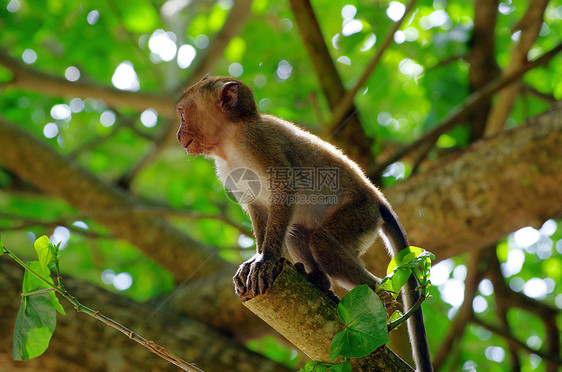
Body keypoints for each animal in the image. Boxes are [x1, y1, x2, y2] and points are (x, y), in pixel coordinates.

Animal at [177, 75, 430, 372]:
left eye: (182, 114)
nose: (179, 134)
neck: (230, 139)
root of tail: (378, 200)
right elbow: (258, 207)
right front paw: (256, 259)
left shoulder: (257, 140)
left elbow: (285, 189)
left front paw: (266, 260)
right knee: (297, 233)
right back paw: (319, 281)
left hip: (360, 214)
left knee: (322, 243)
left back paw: (384, 300)